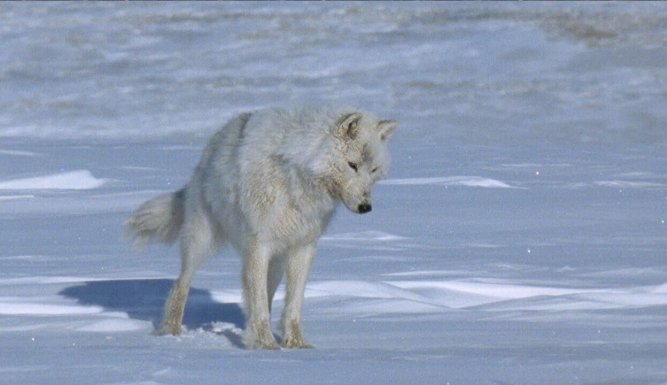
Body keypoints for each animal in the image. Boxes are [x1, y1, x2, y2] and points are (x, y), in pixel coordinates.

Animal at [125, 106, 396, 348]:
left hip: (275, 264)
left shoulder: (302, 248)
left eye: (373, 169)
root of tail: (208, 151)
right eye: (352, 165)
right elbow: (259, 304)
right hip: (201, 241)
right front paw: (265, 344)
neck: (296, 175)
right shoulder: (259, 244)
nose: (366, 207)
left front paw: (295, 344)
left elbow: (292, 304)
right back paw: (170, 331)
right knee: (181, 284)